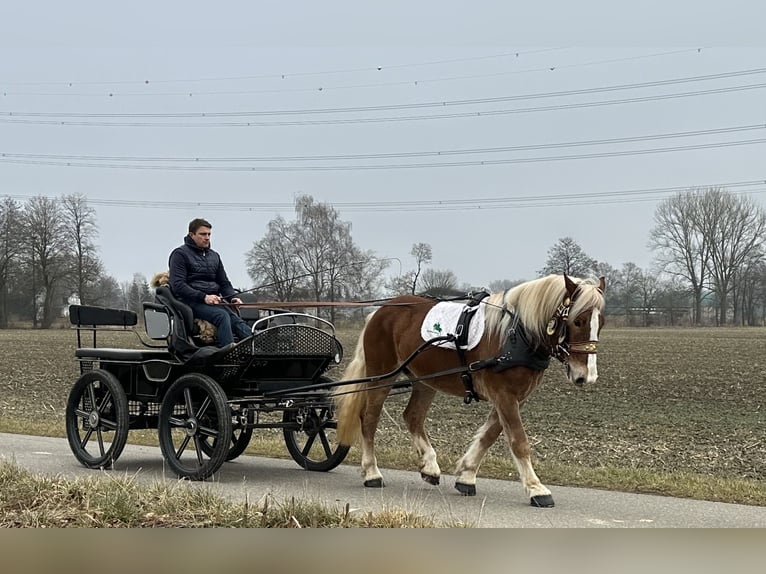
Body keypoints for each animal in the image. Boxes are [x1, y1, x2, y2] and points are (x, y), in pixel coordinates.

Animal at [334, 274, 608, 508]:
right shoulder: (504, 396)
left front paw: (466, 475)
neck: (515, 334)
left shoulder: (513, 397)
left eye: (601, 323)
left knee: (412, 416)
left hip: (425, 381)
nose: (587, 376)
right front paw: (536, 488)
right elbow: (519, 441)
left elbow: (489, 436)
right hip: (382, 375)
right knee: (369, 419)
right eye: (578, 321)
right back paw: (372, 472)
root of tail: (380, 311)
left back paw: (430, 467)